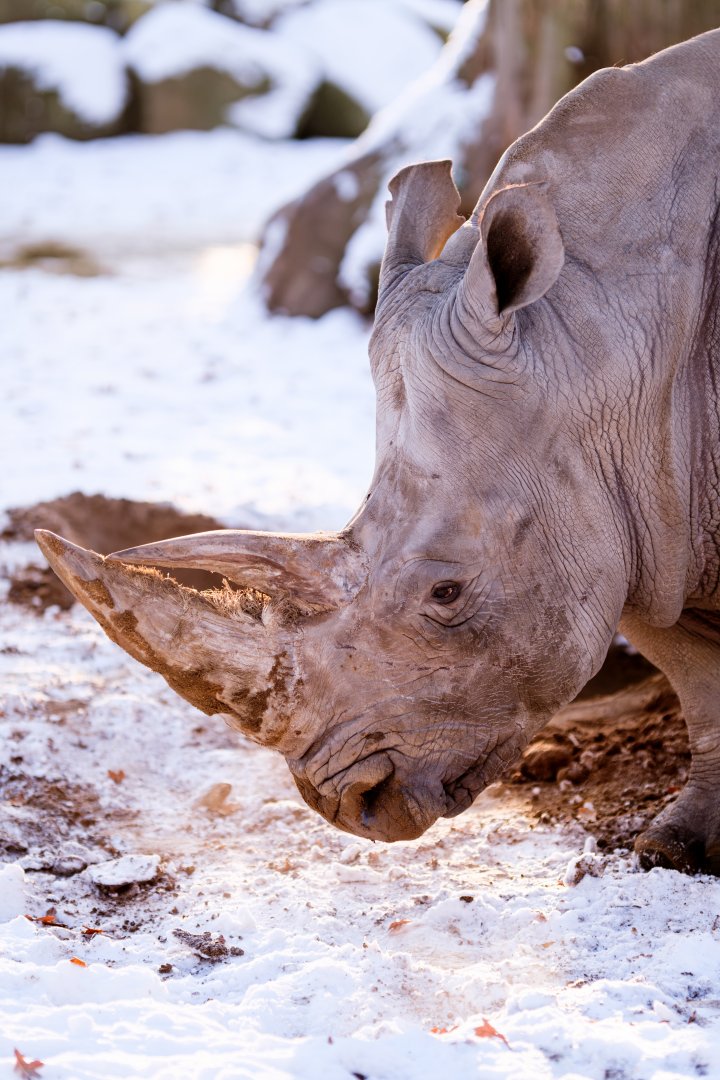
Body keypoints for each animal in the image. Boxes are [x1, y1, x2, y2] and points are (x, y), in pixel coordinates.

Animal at [37, 29, 720, 875]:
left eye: (448, 594)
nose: (351, 804)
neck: (606, 335)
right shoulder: (639, 508)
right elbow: (695, 672)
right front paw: (674, 845)